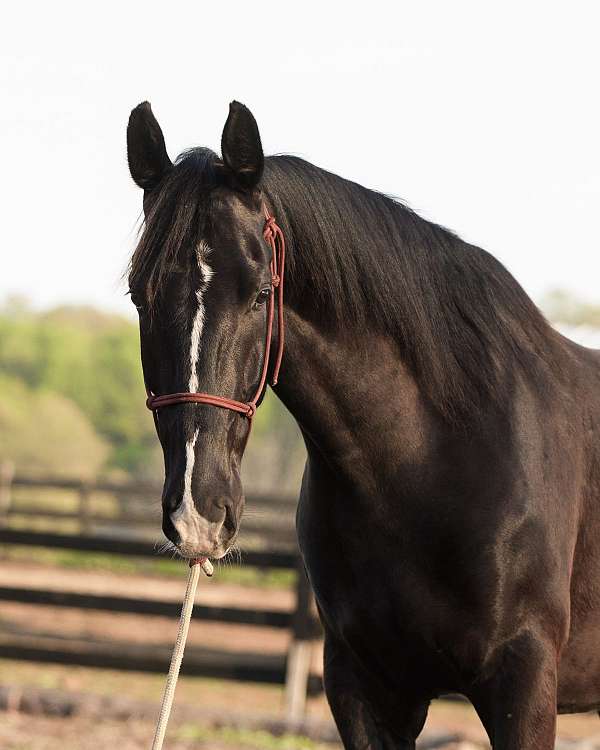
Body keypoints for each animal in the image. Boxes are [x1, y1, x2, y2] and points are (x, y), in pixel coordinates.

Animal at [126, 100, 600, 749]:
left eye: (261, 293)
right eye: (139, 296)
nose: (199, 512)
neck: (431, 463)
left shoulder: (524, 682)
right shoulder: (364, 687)